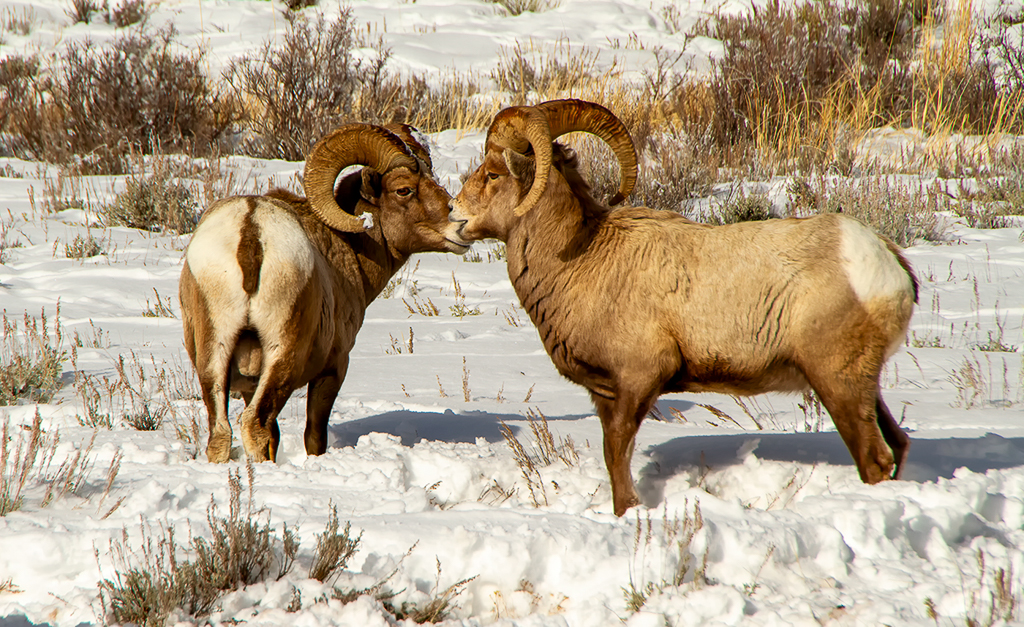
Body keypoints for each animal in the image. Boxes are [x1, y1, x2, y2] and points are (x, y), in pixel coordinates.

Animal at [180, 123, 468, 465]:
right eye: (404, 190)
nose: (461, 224)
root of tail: (251, 229)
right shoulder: (333, 370)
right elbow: (314, 436)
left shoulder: (250, 383)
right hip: (283, 356)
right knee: (254, 425)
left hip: (213, 356)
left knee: (222, 434)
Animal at [452, 100, 917, 516]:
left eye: (492, 174)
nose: (455, 217)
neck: (582, 259)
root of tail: (887, 262)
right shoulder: (605, 394)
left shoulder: (639, 380)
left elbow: (617, 454)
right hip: (861, 386)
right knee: (898, 444)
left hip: (837, 382)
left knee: (874, 460)